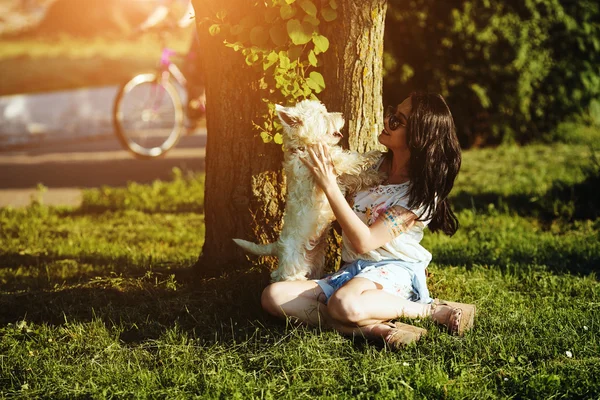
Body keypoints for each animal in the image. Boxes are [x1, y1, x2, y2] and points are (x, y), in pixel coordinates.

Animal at [233, 100, 380, 282]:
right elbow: (352, 158)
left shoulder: (338, 177)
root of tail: (278, 246)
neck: (304, 146)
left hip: (316, 262)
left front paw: (376, 175)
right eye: (322, 115)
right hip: (291, 272)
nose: (342, 115)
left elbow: (357, 176)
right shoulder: (331, 162)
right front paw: (375, 154)